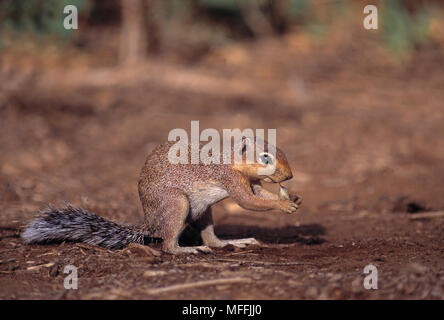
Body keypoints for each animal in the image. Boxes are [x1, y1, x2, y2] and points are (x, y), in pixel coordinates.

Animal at [23, 136, 302, 254]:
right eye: (265, 158)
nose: (289, 176)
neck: (231, 161)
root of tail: (150, 223)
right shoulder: (229, 179)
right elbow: (248, 202)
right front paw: (284, 206)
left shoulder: (249, 182)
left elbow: (259, 194)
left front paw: (291, 199)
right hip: (175, 204)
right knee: (168, 246)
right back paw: (188, 250)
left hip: (202, 211)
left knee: (211, 239)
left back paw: (231, 243)